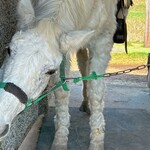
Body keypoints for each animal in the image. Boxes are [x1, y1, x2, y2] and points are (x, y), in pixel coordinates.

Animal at [0, 0, 132, 149]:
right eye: (9, 50)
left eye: (50, 71)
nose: (1, 121)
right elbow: (61, 93)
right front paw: (60, 139)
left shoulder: (103, 41)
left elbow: (96, 92)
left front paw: (96, 141)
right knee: (83, 64)